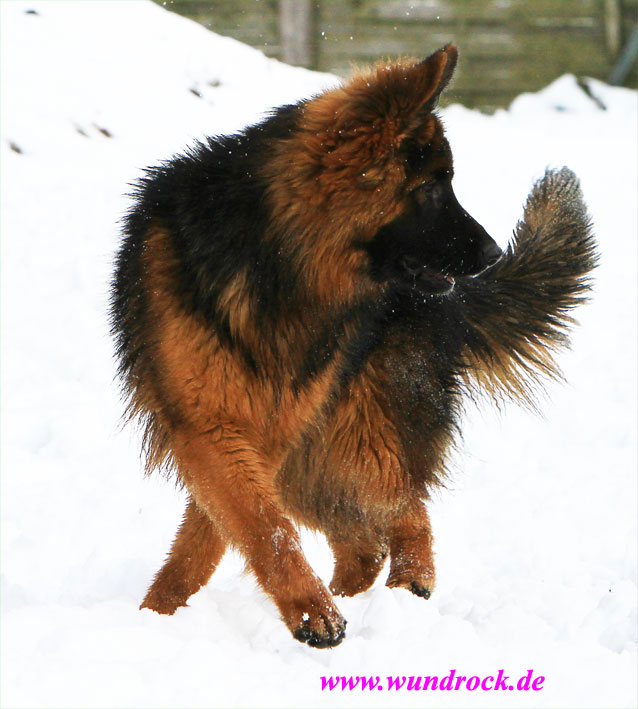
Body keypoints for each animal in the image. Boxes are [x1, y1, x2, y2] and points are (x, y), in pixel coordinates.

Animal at [111, 45, 596, 648]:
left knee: (406, 508)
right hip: (314, 456)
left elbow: (248, 525)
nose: (490, 255)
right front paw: (162, 612)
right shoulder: (212, 425)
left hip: (355, 429)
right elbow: (248, 524)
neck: (281, 260)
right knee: (364, 539)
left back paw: (406, 588)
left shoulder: (260, 431)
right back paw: (348, 597)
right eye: (432, 187)